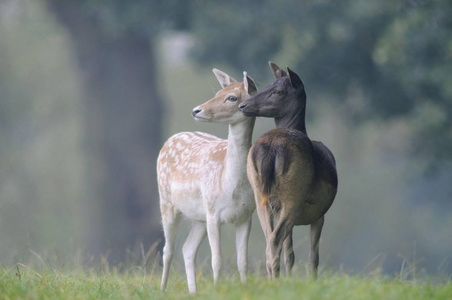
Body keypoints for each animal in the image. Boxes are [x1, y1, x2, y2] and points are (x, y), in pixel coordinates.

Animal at [158, 69, 258, 292]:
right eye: (219, 91)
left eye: (232, 97)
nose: (196, 110)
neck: (231, 184)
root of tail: (169, 139)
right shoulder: (214, 212)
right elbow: (216, 260)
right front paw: (216, 290)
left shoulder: (246, 214)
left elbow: (243, 261)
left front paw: (245, 288)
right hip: (166, 201)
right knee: (168, 250)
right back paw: (162, 289)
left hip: (198, 216)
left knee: (187, 249)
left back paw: (193, 292)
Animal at [238, 61, 338, 278]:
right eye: (267, 85)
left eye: (276, 91)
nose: (242, 105)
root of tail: (272, 148)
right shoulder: (320, 213)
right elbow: (313, 256)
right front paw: (312, 280)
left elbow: (290, 254)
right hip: (294, 195)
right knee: (275, 239)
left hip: (260, 196)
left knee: (270, 240)